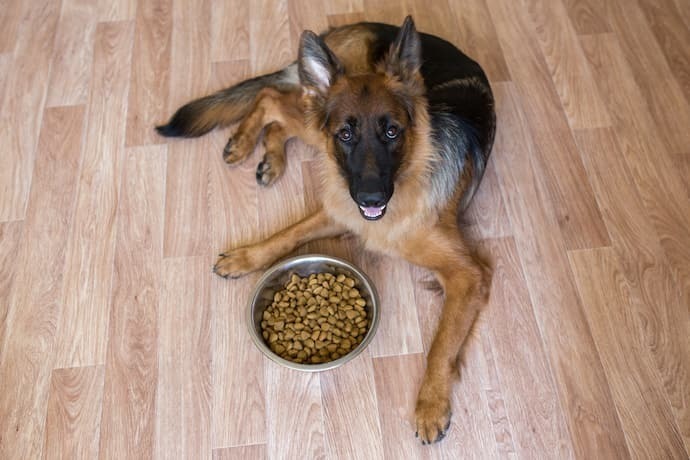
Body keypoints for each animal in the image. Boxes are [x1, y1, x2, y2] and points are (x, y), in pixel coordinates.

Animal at [156, 16, 492, 444]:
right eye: (346, 134)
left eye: (392, 132)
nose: (370, 196)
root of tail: (365, 24)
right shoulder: (340, 207)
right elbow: (287, 234)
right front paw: (247, 256)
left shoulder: (468, 275)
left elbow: (442, 343)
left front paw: (431, 405)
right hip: (315, 125)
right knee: (271, 97)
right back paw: (245, 143)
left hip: (313, 128)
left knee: (276, 108)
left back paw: (268, 157)